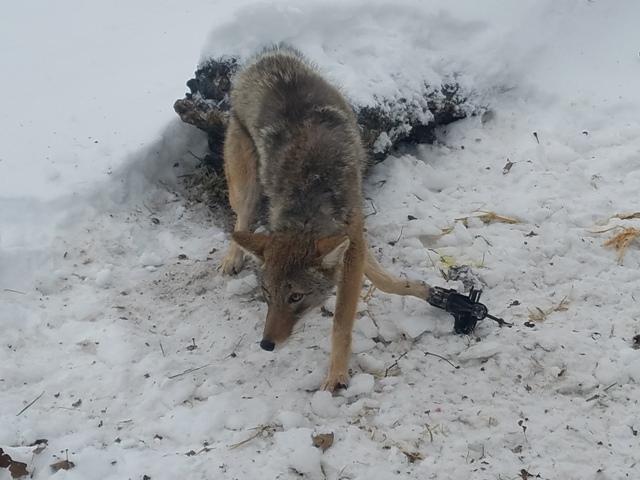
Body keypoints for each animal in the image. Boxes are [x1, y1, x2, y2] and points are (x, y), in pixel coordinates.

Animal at [220, 46, 430, 391]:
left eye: (295, 296)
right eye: (267, 294)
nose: (266, 345)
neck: (310, 196)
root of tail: (270, 58)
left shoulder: (354, 234)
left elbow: (346, 317)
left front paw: (337, 376)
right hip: (246, 188)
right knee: (240, 221)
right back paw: (232, 258)